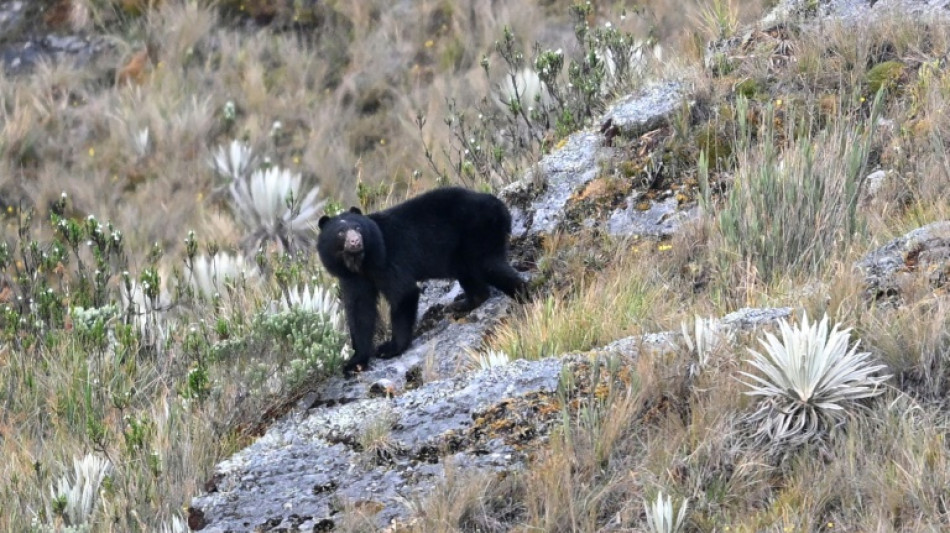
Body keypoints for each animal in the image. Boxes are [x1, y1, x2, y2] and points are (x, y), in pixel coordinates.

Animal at [320, 186, 528, 370]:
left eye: (358, 227)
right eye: (340, 232)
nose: (355, 241)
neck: (362, 264)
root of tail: (499, 204)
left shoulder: (388, 259)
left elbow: (403, 292)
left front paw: (390, 348)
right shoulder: (352, 278)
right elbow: (359, 311)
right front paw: (355, 362)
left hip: (479, 233)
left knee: (490, 266)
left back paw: (524, 294)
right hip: (461, 252)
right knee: (473, 277)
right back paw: (462, 305)